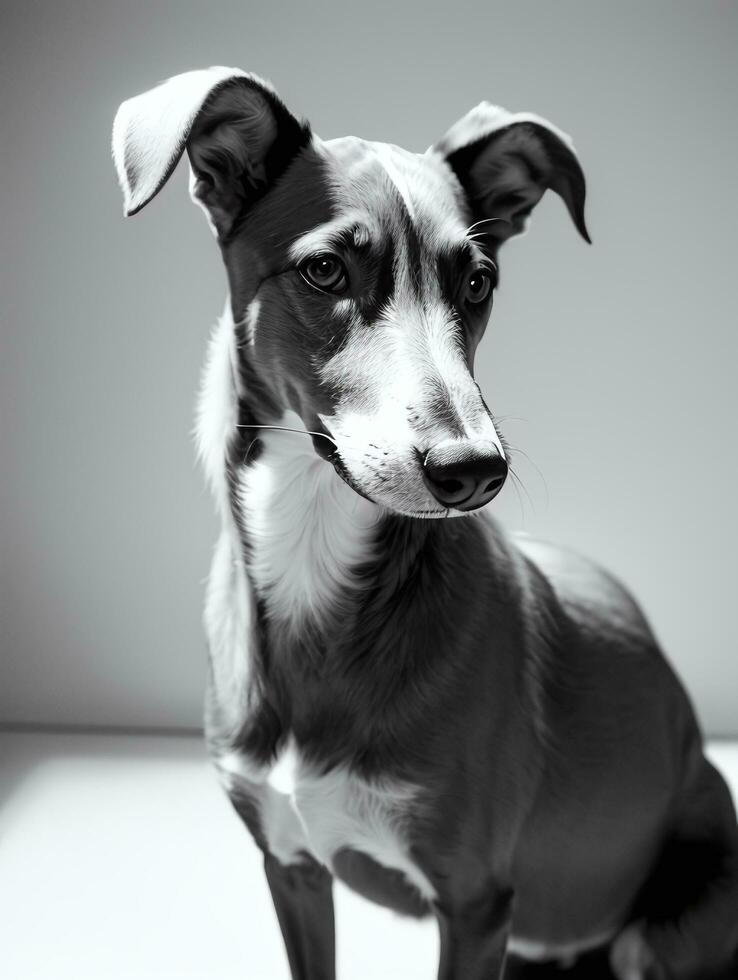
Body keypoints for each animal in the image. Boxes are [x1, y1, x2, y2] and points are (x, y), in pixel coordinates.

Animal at [110, 65, 736, 976]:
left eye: (477, 282)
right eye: (326, 270)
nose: (474, 470)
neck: (315, 555)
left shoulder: (474, 902)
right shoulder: (290, 864)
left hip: (658, 930)